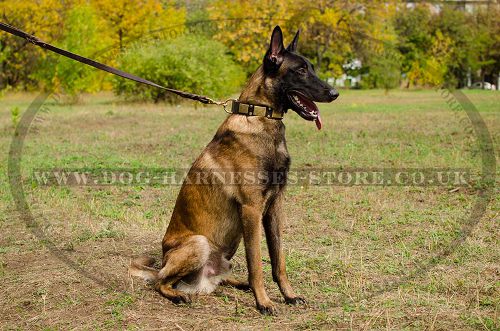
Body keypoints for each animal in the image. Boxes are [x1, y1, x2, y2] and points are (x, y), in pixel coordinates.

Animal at [130, 24, 340, 316]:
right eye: (300, 70)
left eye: (312, 68)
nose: (335, 93)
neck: (261, 116)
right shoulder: (251, 209)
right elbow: (257, 264)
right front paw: (264, 302)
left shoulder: (274, 207)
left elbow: (278, 261)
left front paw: (288, 295)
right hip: (199, 243)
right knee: (161, 282)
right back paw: (178, 295)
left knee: (216, 279)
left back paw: (238, 283)